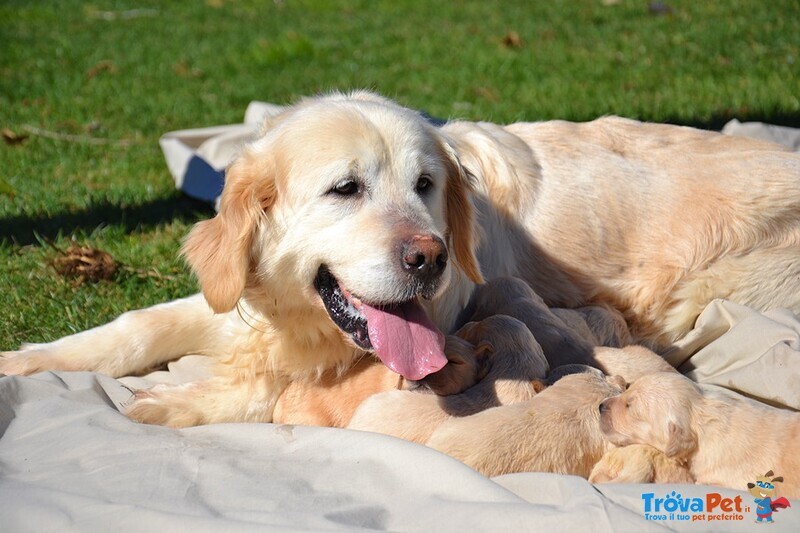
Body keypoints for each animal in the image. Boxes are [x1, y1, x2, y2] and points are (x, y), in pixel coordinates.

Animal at [1, 89, 800, 426]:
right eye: (345, 188)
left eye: (425, 185)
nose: (430, 258)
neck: (298, 323)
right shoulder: (238, 305)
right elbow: (133, 327)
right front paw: (27, 360)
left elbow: (269, 387)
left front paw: (176, 402)